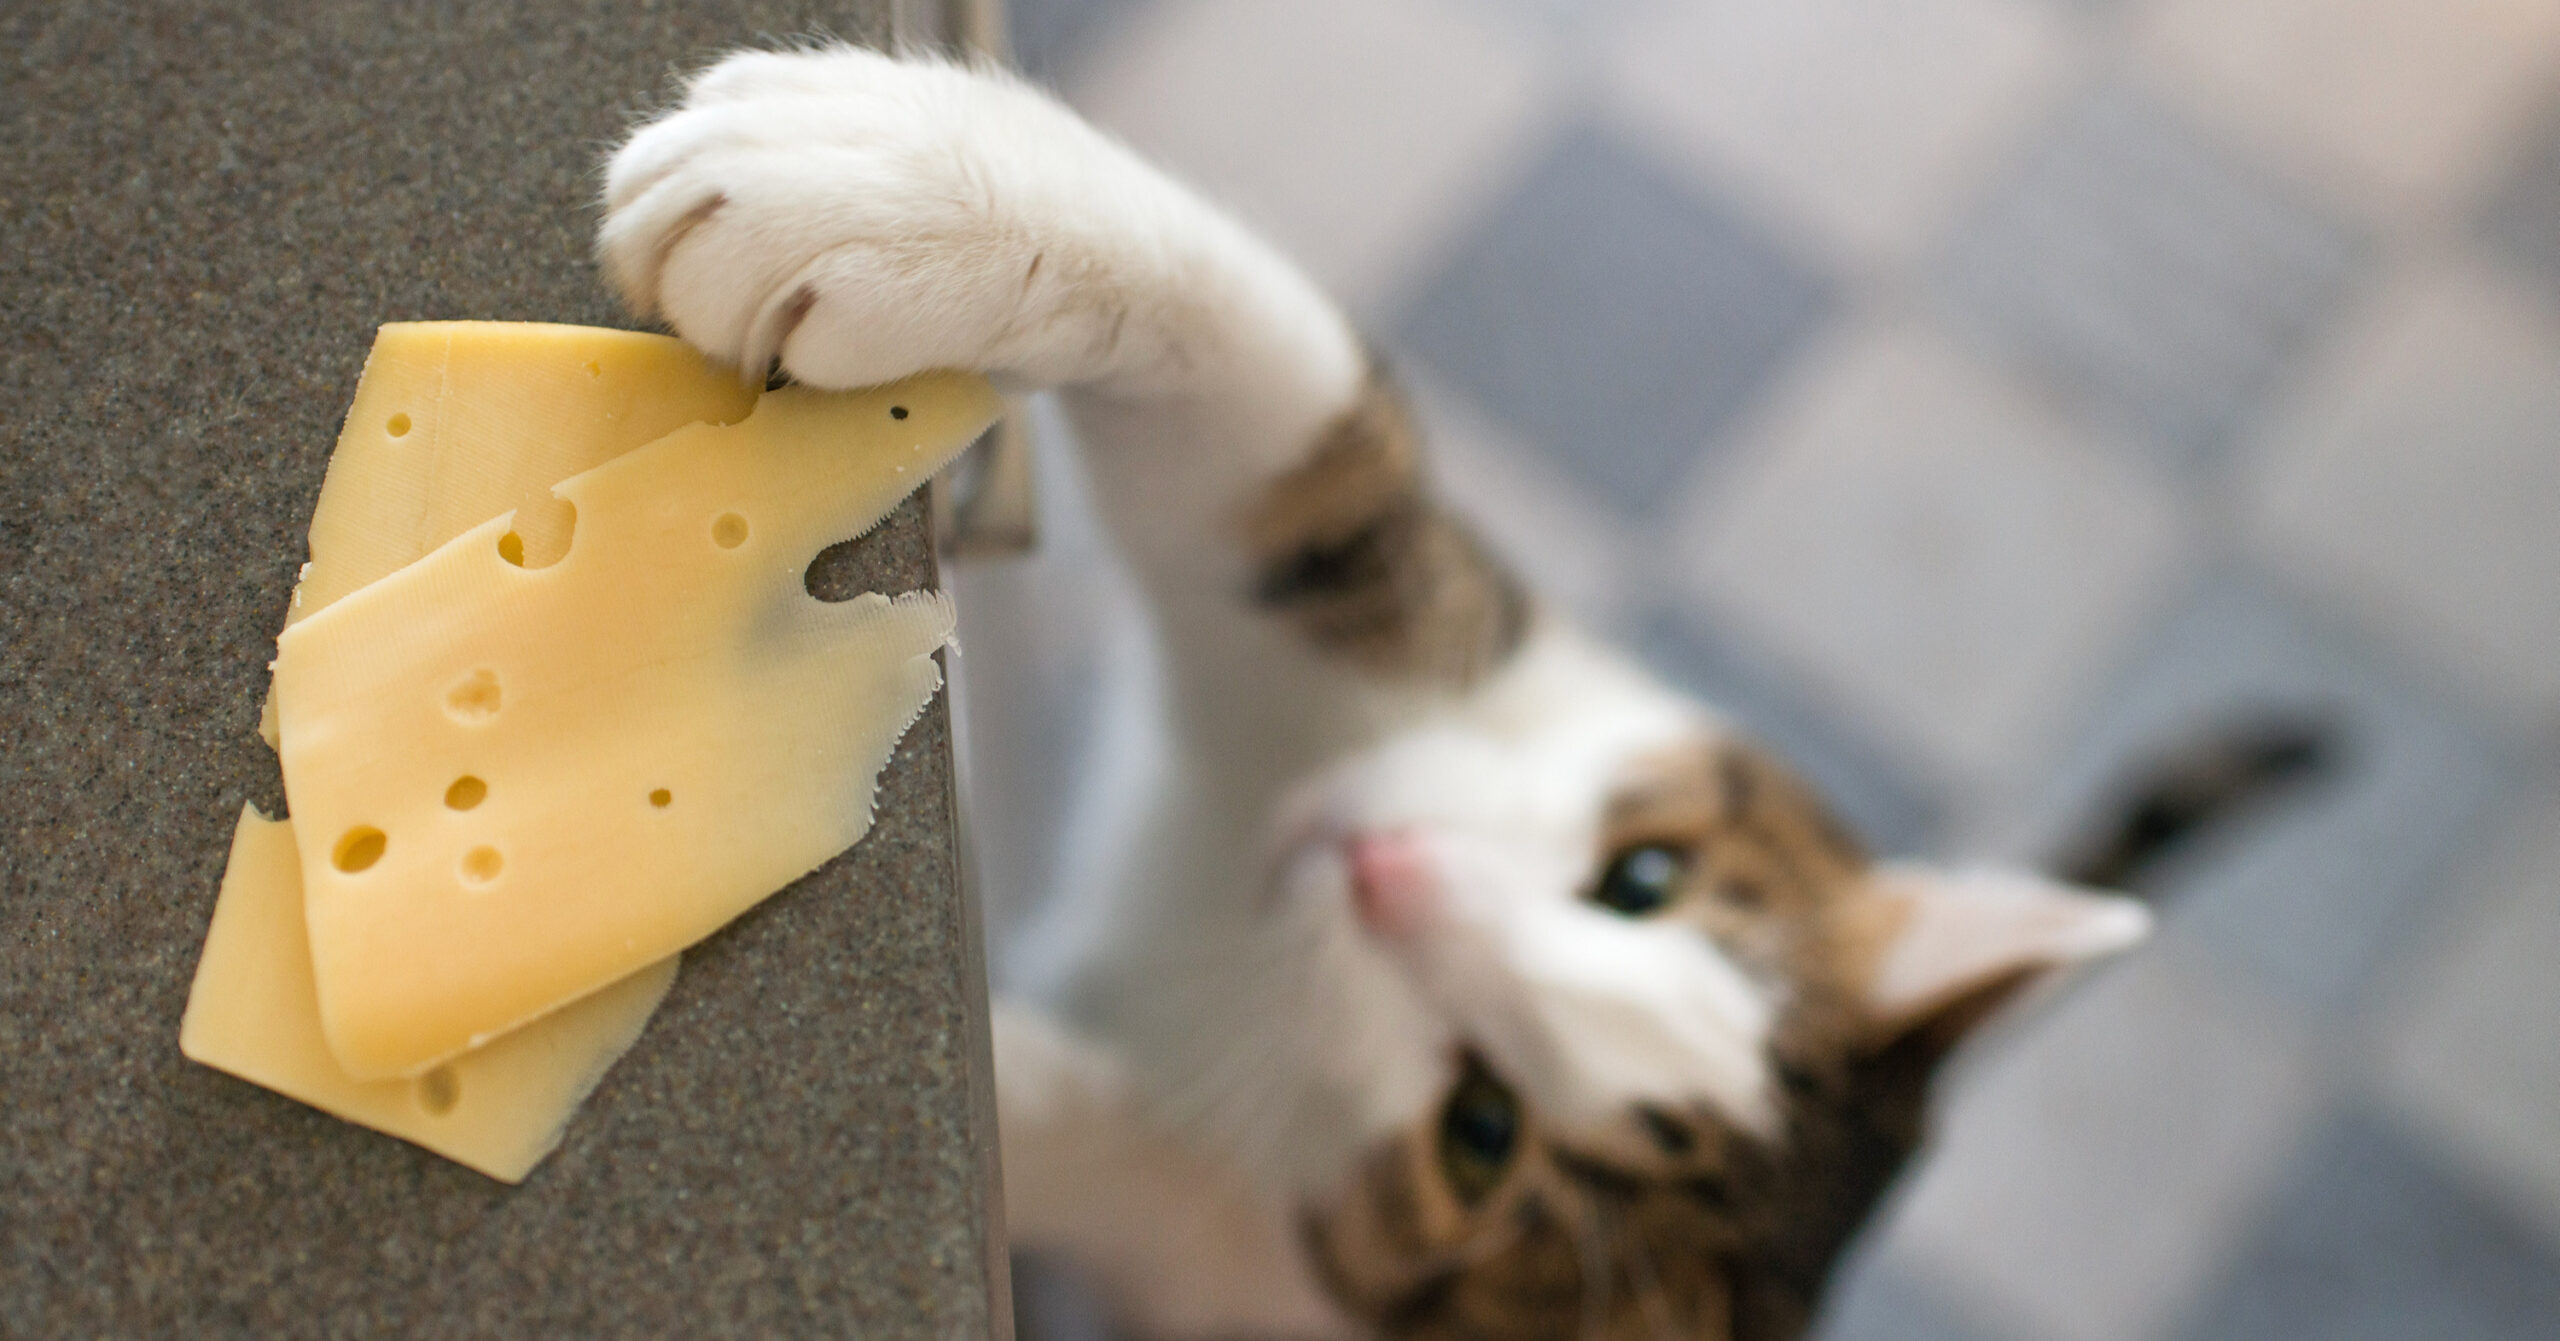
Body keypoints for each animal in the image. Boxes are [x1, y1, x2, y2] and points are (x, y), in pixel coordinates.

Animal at [599, 47, 2160, 1330]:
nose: (1380, 862)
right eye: (1642, 878)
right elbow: (1287, 412)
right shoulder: (1407, 643)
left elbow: (1102, 1151)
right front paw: (887, 183)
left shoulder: (1233, 1247)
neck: (1220, 920)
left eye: (1482, 1131)